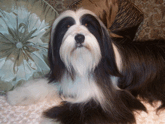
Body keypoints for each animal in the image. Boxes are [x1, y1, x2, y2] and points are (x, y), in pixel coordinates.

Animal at [7, 8, 165, 124]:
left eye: (88, 25)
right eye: (68, 26)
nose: (79, 37)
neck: (83, 62)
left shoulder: (116, 100)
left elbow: (84, 108)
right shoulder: (67, 80)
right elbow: (43, 85)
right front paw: (18, 94)